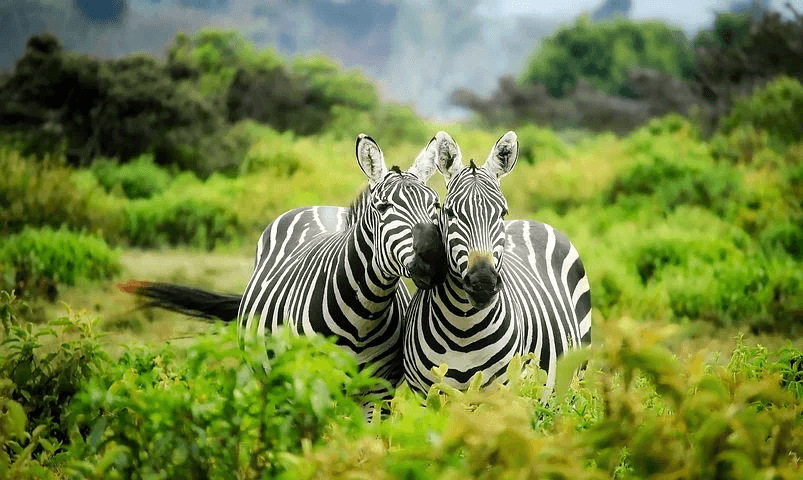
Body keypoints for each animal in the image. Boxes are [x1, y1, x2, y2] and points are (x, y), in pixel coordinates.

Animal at [120, 133, 448, 414]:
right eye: (382, 208)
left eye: (435, 204)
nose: (433, 258)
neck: (363, 314)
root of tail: (320, 206)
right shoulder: (310, 383)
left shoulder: (378, 391)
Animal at [402, 131, 592, 398]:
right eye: (449, 212)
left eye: (502, 213)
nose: (483, 283)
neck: (463, 327)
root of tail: (531, 221)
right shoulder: (426, 395)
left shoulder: (502, 393)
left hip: (574, 379)